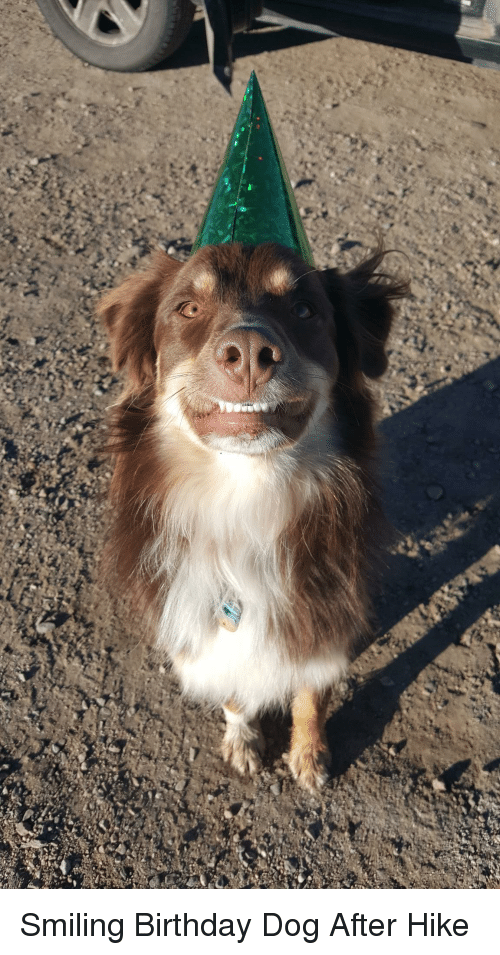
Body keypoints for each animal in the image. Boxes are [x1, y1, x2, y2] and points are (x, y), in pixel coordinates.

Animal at [97, 243, 406, 796]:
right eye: (188, 309)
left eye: (304, 310)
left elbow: (311, 694)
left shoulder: (321, 610)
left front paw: (308, 754)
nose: (247, 352)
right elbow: (235, 687)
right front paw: (243, 740)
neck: (246, 492)